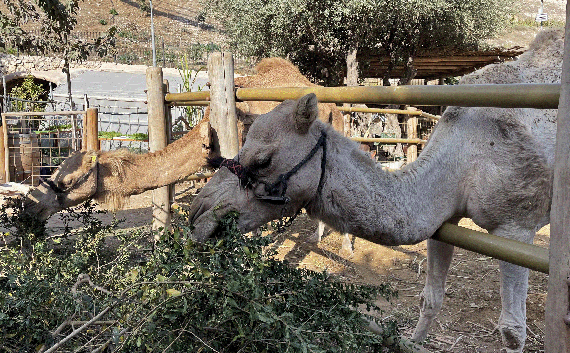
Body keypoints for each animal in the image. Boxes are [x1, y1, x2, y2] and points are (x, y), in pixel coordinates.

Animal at [187, 28, 560, 350]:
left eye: (263, 160)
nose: (198, 212)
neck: (467, 153)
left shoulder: (515, 227)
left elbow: (512, 331)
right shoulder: (445, 219)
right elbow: (430, 299)